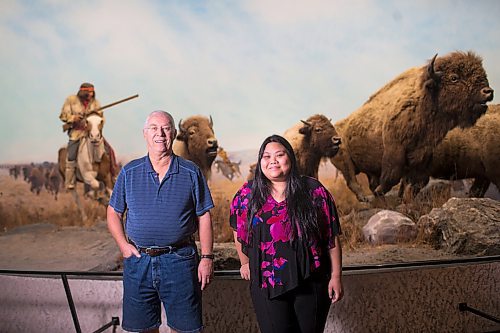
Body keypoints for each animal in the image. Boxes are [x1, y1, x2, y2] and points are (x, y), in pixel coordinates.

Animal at [332, 50, 492, 201]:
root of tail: (338, 125)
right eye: (454, 77)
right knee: (352, 181)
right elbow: (392, 176)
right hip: (344, 161)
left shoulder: (421, 157)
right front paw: (381, 191)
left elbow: (414, 183)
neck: (423, 98)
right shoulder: (395, 151)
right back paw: (366, 198)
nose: (488, 92)